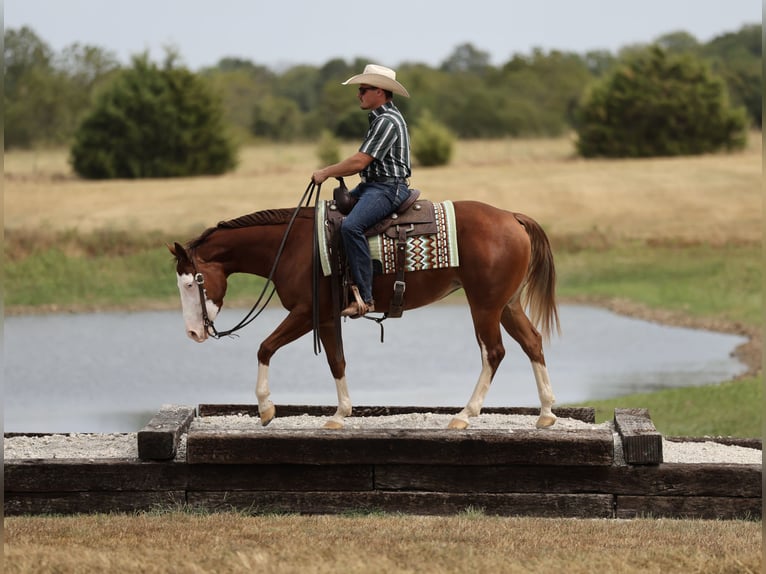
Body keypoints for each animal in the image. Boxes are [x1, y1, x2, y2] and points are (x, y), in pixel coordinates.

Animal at [169, 198, 560, 430]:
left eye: (191, 282)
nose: (192, 333)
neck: (293, 246)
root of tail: (512, 217)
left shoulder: (306, 312)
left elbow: (265, 347)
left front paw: (266, 407)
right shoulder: (326, 319)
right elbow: (337, 362)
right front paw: (340, 414)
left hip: (484, 306)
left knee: (494, 352)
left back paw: (465, 414)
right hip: (507, 305)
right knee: (532, 343)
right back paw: (545, 413)